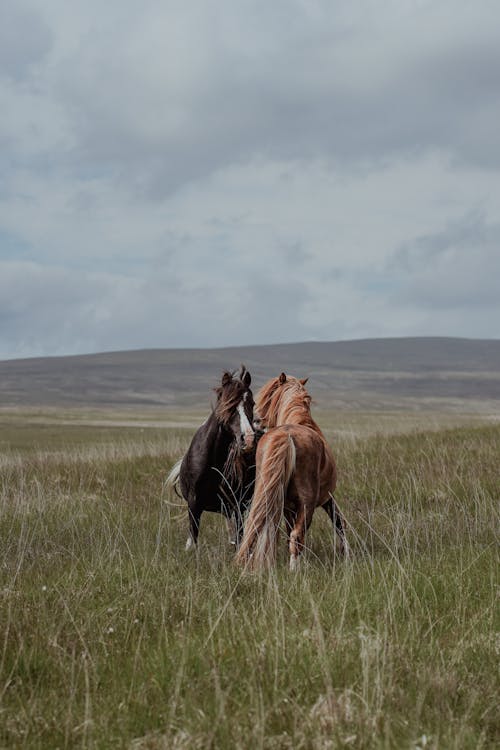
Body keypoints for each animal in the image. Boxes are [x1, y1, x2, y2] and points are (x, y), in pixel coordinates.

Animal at [166, 368, 256, 552]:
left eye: (252, 403)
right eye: (227, 405)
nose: (249, 439)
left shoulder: (238, 503)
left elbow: (240, 536)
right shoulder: (194, 502)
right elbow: (193, 537)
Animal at [236, 374, 350, 572]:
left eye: (268, 395)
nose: (256, 422)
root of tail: (287, 436)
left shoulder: (288, 506)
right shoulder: (327, 498)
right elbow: (338, 522)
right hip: (307, 504)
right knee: (297, 536)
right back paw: (294, 569)